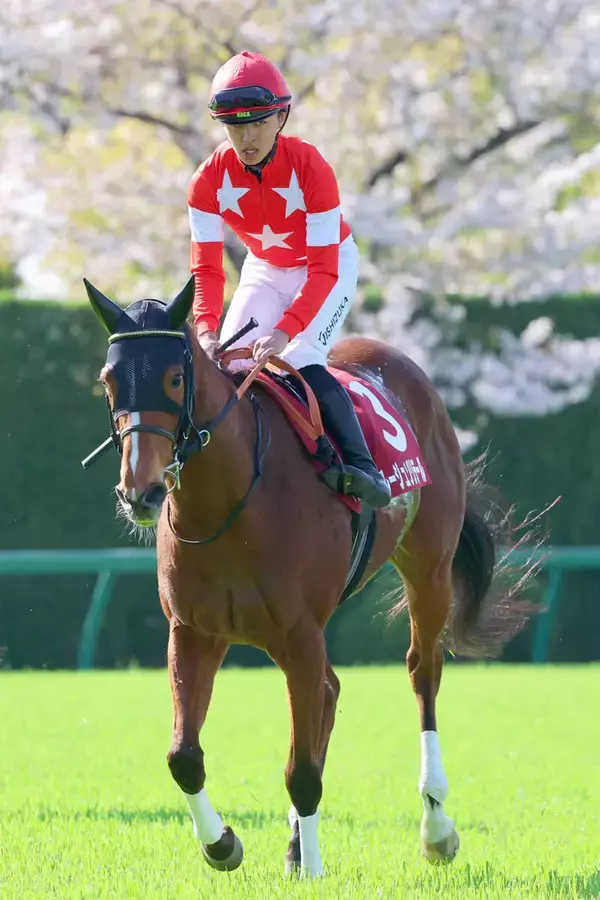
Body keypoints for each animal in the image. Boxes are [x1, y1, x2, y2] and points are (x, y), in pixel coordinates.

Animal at [82, 276, 532, 878]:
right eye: (108, 380)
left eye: (174, 378)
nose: (142, 491)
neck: (233, 499)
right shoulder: (194, 631)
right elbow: (184, 757)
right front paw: (223, 843)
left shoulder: (298, 634)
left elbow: (301, 771)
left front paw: (312, 867)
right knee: (330, 691)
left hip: (428, 569)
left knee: (423, 672)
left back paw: (436, 827)